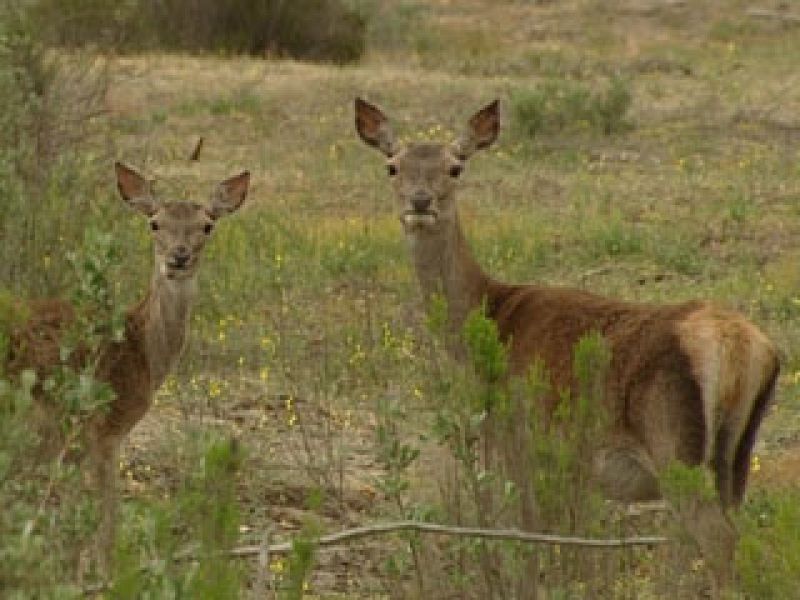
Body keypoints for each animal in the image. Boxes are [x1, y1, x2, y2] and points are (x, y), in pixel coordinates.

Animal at [6, 161, 248, 572]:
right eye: (154, 223)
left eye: (207, 225)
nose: (178, 257)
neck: (142, 353)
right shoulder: (104, 426)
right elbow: (106, 517)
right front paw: (104, 572)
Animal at [356, 96, 780, 588]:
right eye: (392, 166)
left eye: (455, 167)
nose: (420, 201)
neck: (492, 317)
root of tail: (743, 347)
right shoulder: (571, 466)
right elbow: (573, 539)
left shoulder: (517, 438)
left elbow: (529, 534)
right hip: (736, 458)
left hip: (675, 443)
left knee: (722, 544)